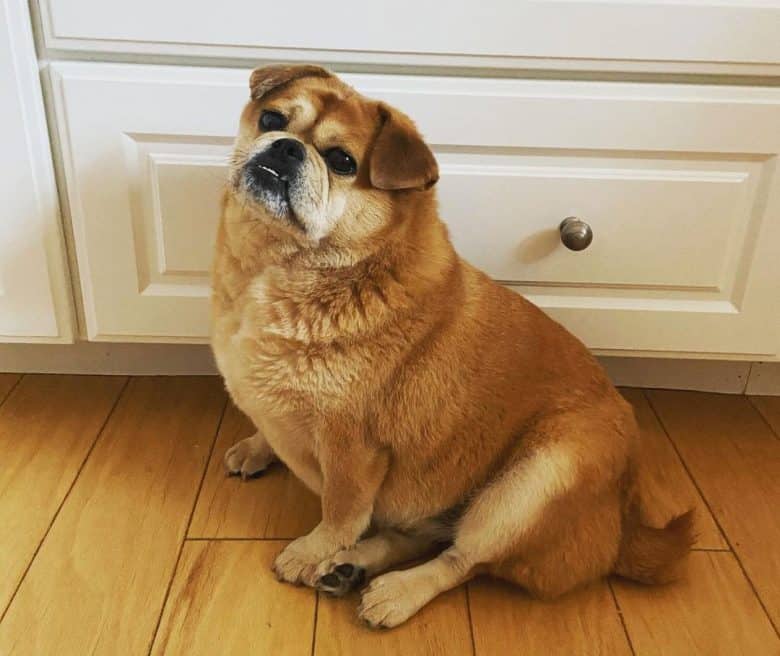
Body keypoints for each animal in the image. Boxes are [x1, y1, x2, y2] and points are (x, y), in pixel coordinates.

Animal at [210, 64, 692, 628]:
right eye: (271, 119)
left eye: (342, 162)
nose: (286, 147)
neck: (282, 265)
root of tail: (620, 527)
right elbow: (271, 428)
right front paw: (257, 447)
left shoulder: (353, 448)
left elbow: (341, 512)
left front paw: (312, 550)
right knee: (420, 536)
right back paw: (351, 567)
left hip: (532, 484)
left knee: (461, 560)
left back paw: (394, 589)